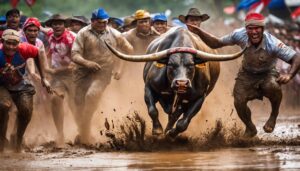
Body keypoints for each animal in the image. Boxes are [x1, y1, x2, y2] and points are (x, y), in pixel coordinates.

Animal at [104, 27, 245, 138]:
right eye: (171, 65)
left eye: (191, 65)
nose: (181, 83)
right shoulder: (149, 87)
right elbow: (152, 110)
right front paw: (157, 130)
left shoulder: (200, 97)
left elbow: (183, 122)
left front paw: (171, 133)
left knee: (175, 115)